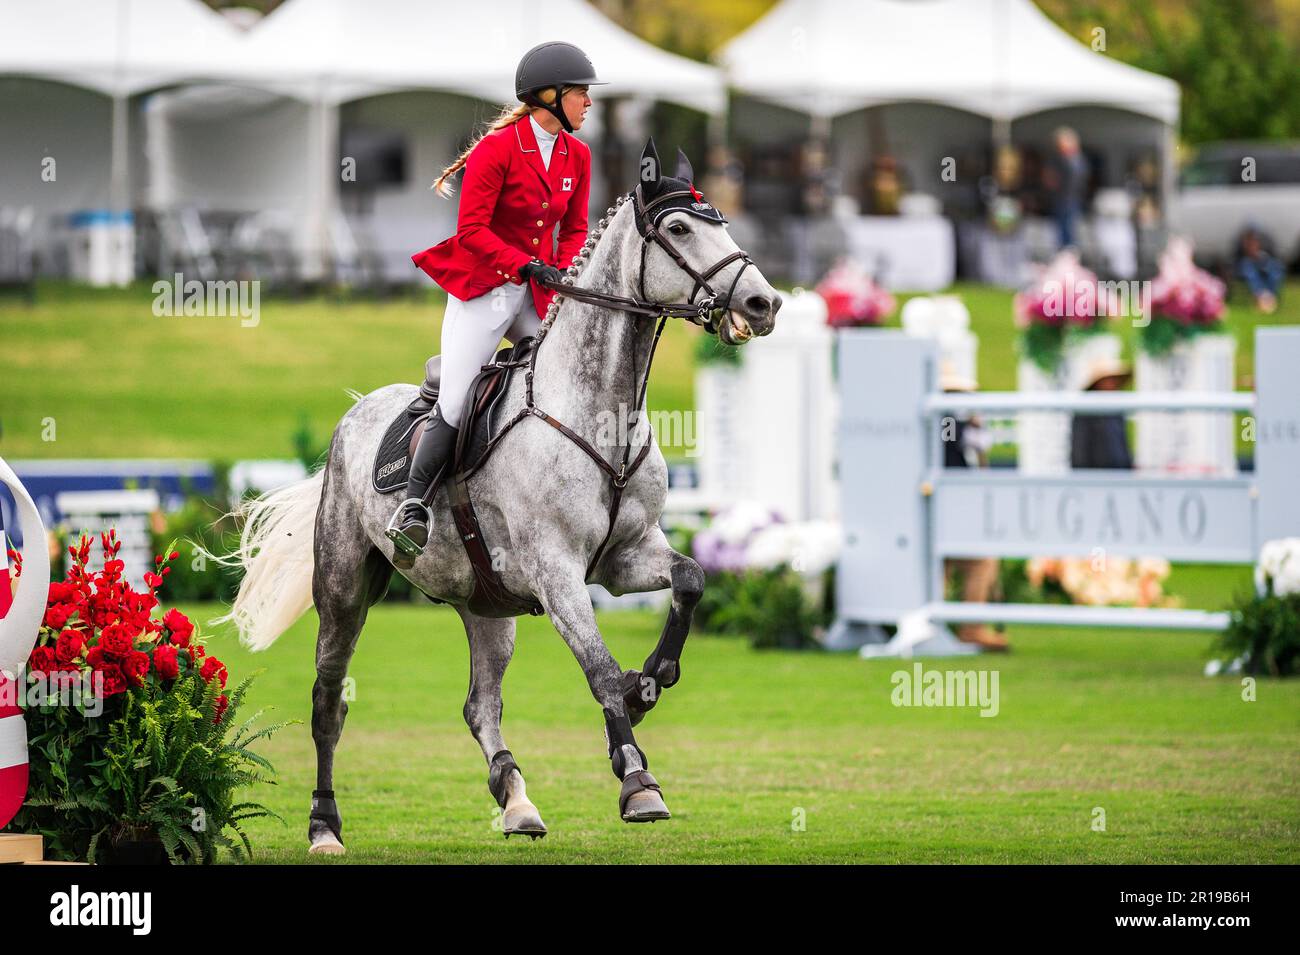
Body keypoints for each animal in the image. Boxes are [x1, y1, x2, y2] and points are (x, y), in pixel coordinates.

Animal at [215, 143, 780, 857]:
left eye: (722, 223)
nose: (764, 303)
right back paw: (325, 827)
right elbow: (598, 669)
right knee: (328, 701)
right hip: (343, 586)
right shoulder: (558, 573)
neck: (602, 415)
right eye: (679, 229)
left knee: (480, 705)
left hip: (488, 605)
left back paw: (517, 802)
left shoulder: (623, 560)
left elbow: (691, 579)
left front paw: (648, 683)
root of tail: (356, 413)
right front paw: (637, 781)